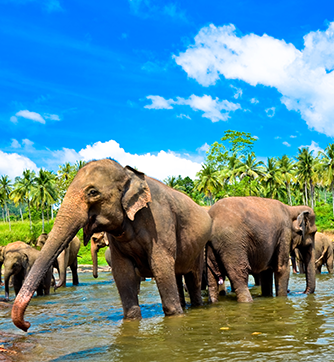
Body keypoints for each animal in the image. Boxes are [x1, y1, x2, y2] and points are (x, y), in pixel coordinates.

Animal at [13, 158, 213, 330]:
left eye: (93, 192)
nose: (27, 325)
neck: (128, 174)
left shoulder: (161, 222)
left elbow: (161, 266)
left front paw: (175, 316)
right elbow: (123, 272)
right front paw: (131, 320)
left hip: (198, 248)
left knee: (193, 279)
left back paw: (196, 306)